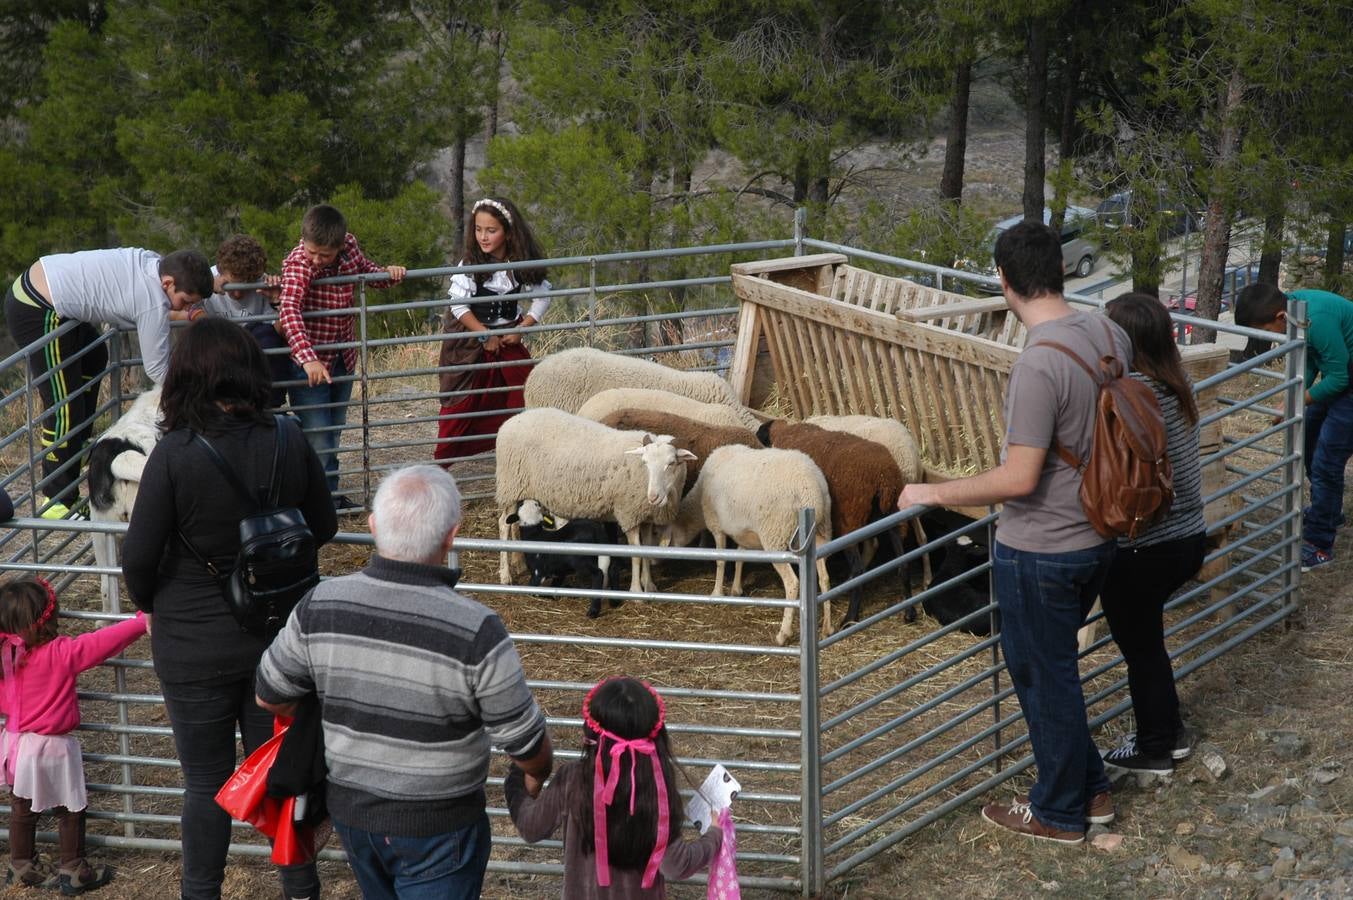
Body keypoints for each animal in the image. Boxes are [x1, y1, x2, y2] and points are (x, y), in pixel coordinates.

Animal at [495, 406, 698, 590]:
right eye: (645, 462)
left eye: (671, 463)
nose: (653, 497)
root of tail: (511, 421)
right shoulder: (628, 513)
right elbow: (636, 554)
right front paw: (636, 590)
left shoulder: (646, 516)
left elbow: (647, 551)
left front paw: (649, 585)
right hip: (510, 485)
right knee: (504, 524)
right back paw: (505, 575)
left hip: (524, 489)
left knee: (515, 522)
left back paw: (520, 563)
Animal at [668, 443, 833, 646]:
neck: (698, 501)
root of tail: (812, 492)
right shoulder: (744, 533)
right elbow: (740, 557)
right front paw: (736, 589)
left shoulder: (716, 525)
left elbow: (720, 560)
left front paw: (716, 593)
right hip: (821, 533)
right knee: (824, 578)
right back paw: (827, 628)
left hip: (775, 535)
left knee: (792, 583)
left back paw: (783, 634)